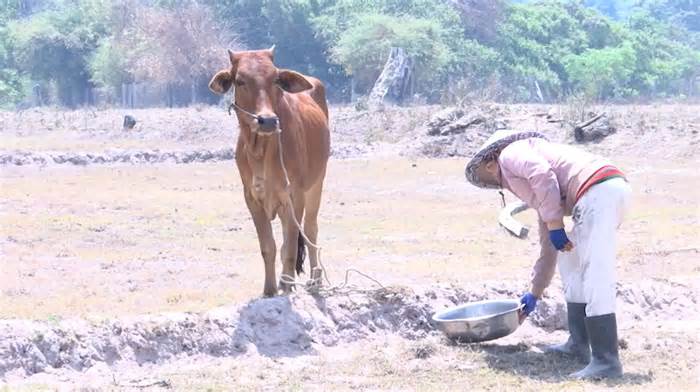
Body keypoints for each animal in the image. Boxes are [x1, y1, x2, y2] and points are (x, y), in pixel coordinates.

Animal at [208, 47, 330, 296]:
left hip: (317, 184)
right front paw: (270, 288)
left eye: (275, 79)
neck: (260, 151)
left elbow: (289, 247)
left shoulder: (293, 197)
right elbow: (268, 246)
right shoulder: (252, 198)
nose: (267, 121)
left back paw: (314, 279)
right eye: (240, 81)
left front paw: (288, 285)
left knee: (310, 229)